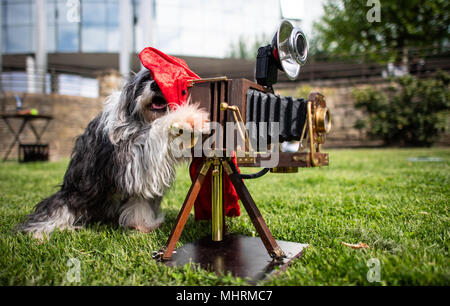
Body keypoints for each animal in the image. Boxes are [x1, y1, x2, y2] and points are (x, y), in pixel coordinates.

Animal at [17, 68, 207, 239]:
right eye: (144, 81)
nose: (154, 85)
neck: (143, 121)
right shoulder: (132, 157)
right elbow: (157, 129)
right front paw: (186, 117)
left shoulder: (139, 175)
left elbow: (140, 201)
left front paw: (143, 225)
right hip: (75, 193)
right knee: (55, 209)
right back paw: (40, 233)